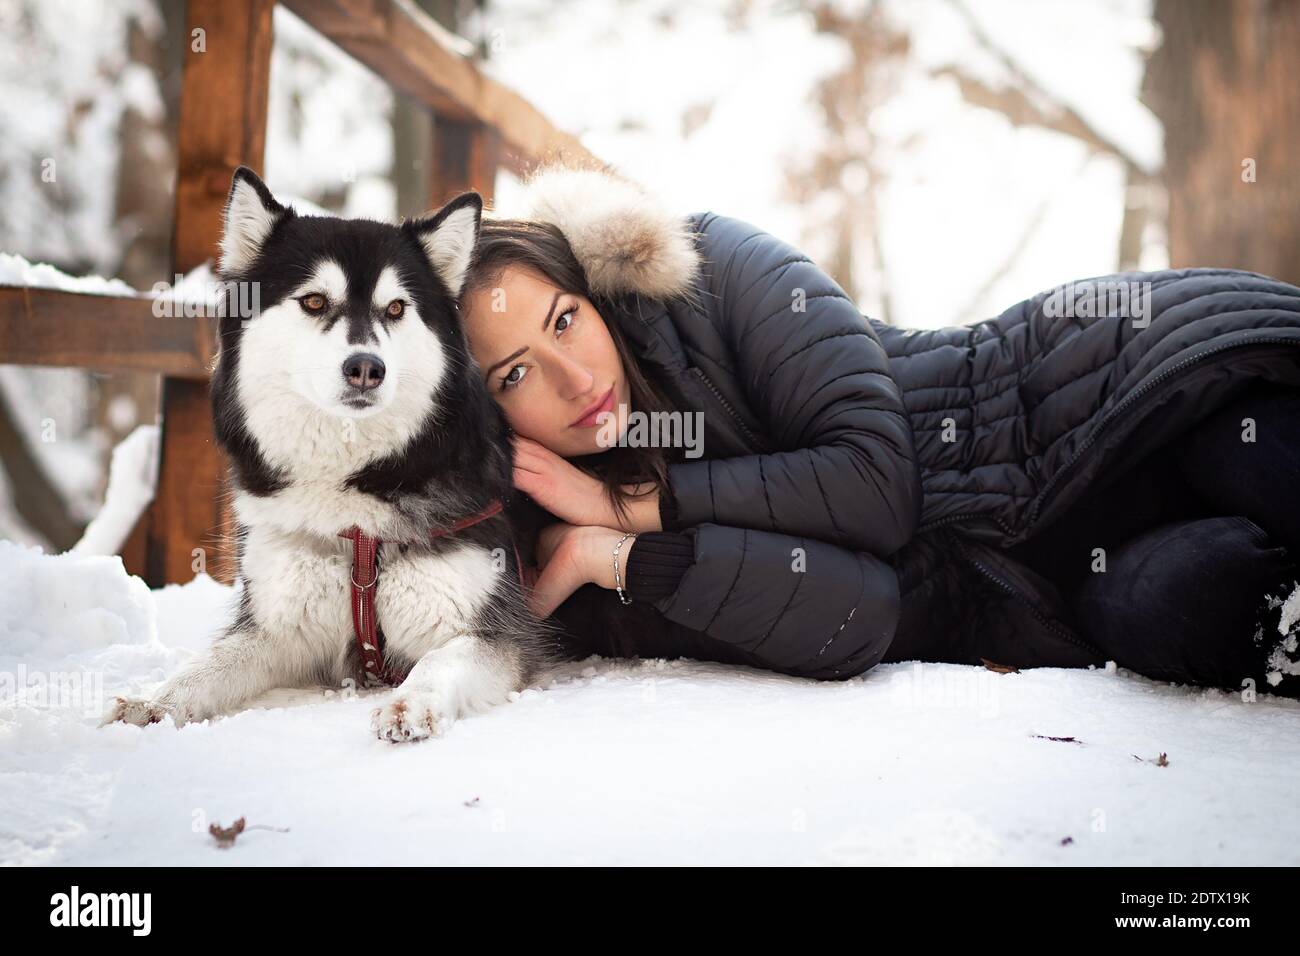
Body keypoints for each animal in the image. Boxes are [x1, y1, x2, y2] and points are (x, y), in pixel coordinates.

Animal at [104, 167, 561, 743]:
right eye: (315, 302)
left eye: (396, 308)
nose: (366, 368)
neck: (352, 496)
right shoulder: (279, 627)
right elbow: (208, 665)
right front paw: (153, 700)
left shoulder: (494, 630)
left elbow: (441, 660)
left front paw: (410, 702)